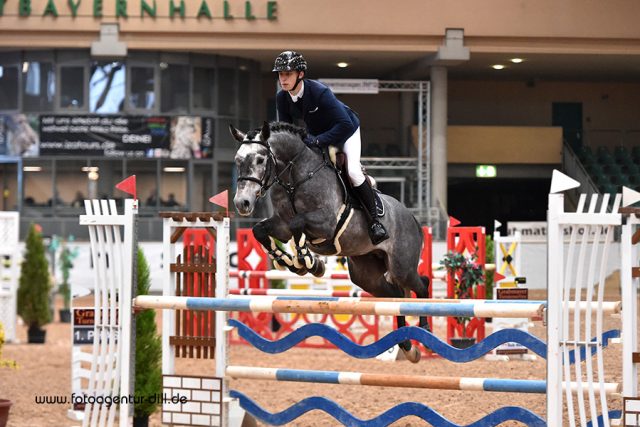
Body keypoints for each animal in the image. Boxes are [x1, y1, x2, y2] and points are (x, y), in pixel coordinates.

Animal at [230, 121, 430, 364]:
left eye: (260, 159)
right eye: (238, 160)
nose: (242, 203)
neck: (294, 178)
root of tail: (413, 218)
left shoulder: (325, 222)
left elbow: (298, 223)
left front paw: (307, 262)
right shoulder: (281, 225)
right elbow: (260, 230)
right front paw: (290, 262)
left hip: (402, 267)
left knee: (422, 284)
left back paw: (425, 331)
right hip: (367, 274)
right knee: (396, 296)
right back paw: (407, 345)